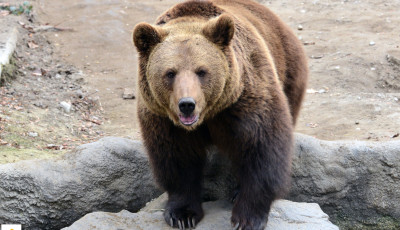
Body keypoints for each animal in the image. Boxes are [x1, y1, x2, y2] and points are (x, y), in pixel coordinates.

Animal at [133, 0, 308, 229]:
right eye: (170, 73)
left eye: (201, 71)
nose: (187, 104)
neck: (209, 115)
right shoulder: (163, 118)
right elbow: (177, 159)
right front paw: (182, 214)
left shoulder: (243, 98)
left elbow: (261, 149)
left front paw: (247, 217)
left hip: (288, 70)